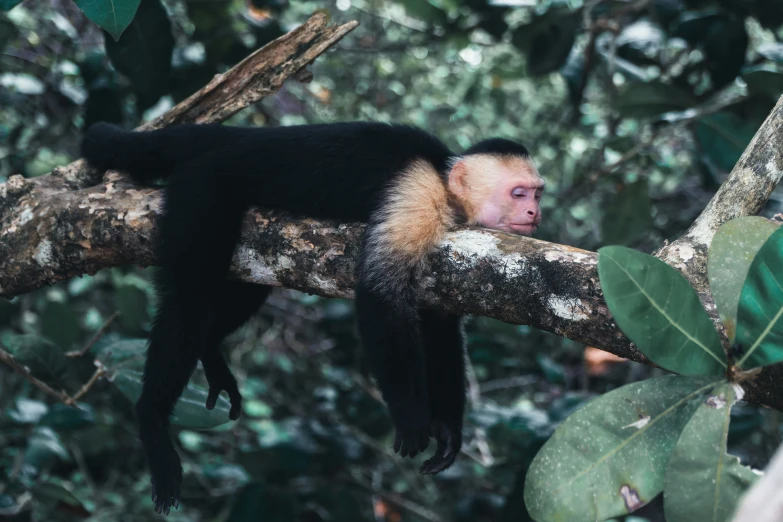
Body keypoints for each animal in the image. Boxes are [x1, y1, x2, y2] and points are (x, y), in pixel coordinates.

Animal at [81, 121, 544, 512]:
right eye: (519, 193)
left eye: (537, 193)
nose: (535, 213)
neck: (447, 189)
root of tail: (238, 137)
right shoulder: (415, 194)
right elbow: (380, 295)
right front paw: (413, 419)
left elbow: (438, 325)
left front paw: (448, 429)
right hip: (202, 187)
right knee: (191, 298)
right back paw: (152, 419)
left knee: (246, 287)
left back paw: (210, 351)